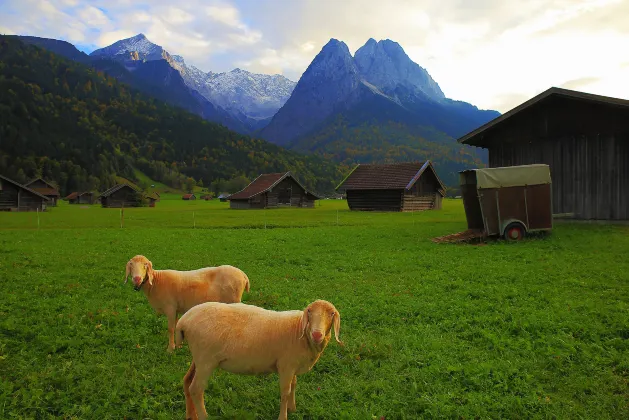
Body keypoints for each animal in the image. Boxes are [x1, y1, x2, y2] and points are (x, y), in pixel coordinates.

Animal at [122, 254, 250, 352]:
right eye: (131, 265)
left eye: (145, 266)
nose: (137, 279)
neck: (156, 282)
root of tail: (243, 275)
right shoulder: (176, 309)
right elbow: (176, 326)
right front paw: (178, 345)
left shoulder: (170, 307)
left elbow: (170, 328)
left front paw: (170, 349)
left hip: (234, 300)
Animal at [174, 298, 340, 420]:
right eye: (310, 311)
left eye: (332, 313)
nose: (317, 334)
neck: (300, 331)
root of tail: (183, 321)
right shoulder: (286, 365)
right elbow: (285, 391)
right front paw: (283, 416)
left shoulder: (292, 366)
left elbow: (294, 384)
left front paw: (293, 408)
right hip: (206, 360)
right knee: (196, 389)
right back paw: (204, 416)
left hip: (198, 358)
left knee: (187, 381)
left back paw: (191, 415)